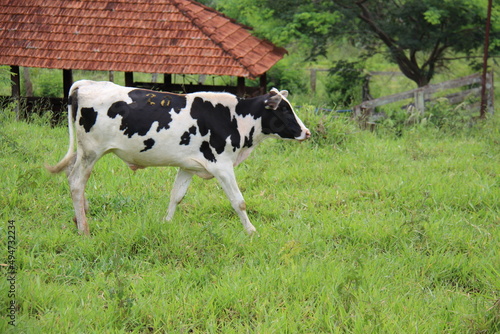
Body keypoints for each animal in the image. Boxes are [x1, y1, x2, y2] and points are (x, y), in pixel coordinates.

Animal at [48, 80, 310, 235]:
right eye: (284, 109)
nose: (306, 132)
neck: (235, 117)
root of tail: (87, 83)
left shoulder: (189, 166)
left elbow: (176, 196)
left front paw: (166, 223)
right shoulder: (222, 165)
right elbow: (239, 201)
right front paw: (251, 231)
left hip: (82, 152)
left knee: (72, 175)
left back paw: (78, 217)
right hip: (91, 152)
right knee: (77, 182)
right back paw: (84, 228)